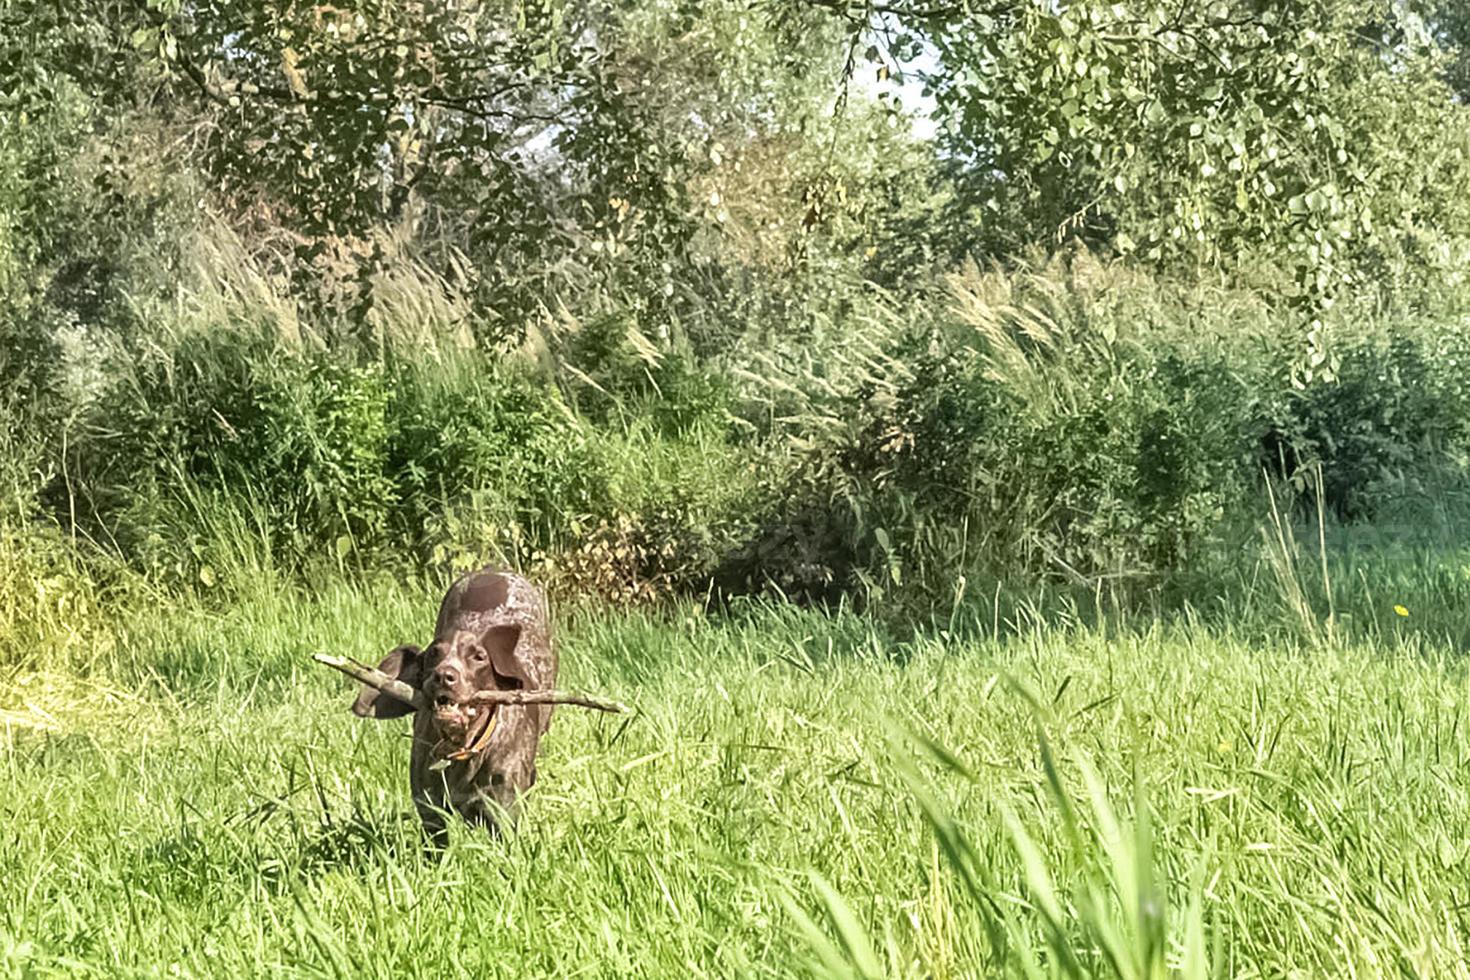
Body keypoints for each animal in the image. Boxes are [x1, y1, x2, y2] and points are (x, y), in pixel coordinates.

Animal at [352, 570, 558, 846]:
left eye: (479, 657)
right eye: (433, 654)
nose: (443, 676)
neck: (461, 750)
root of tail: (494, 569)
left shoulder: (502, 814)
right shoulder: (430, 811)